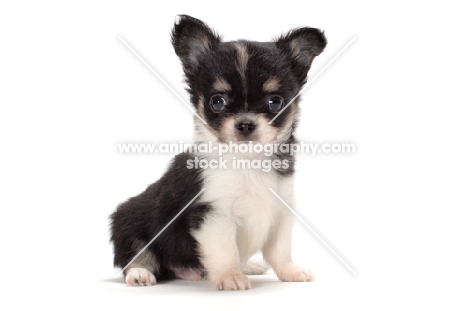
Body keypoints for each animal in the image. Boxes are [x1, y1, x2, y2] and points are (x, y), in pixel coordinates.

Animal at [111, 14, 328, 292]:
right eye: (217, 102)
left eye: (275, 102)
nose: (245, 124)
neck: (247, 162)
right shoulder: (214, 215)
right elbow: (226, 250)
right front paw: (230, 276)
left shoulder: (281, 209)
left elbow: (280, 249)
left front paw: (289, 270)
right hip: (129, 220)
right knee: (137, 252)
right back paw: (140, 273)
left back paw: (250, 265)